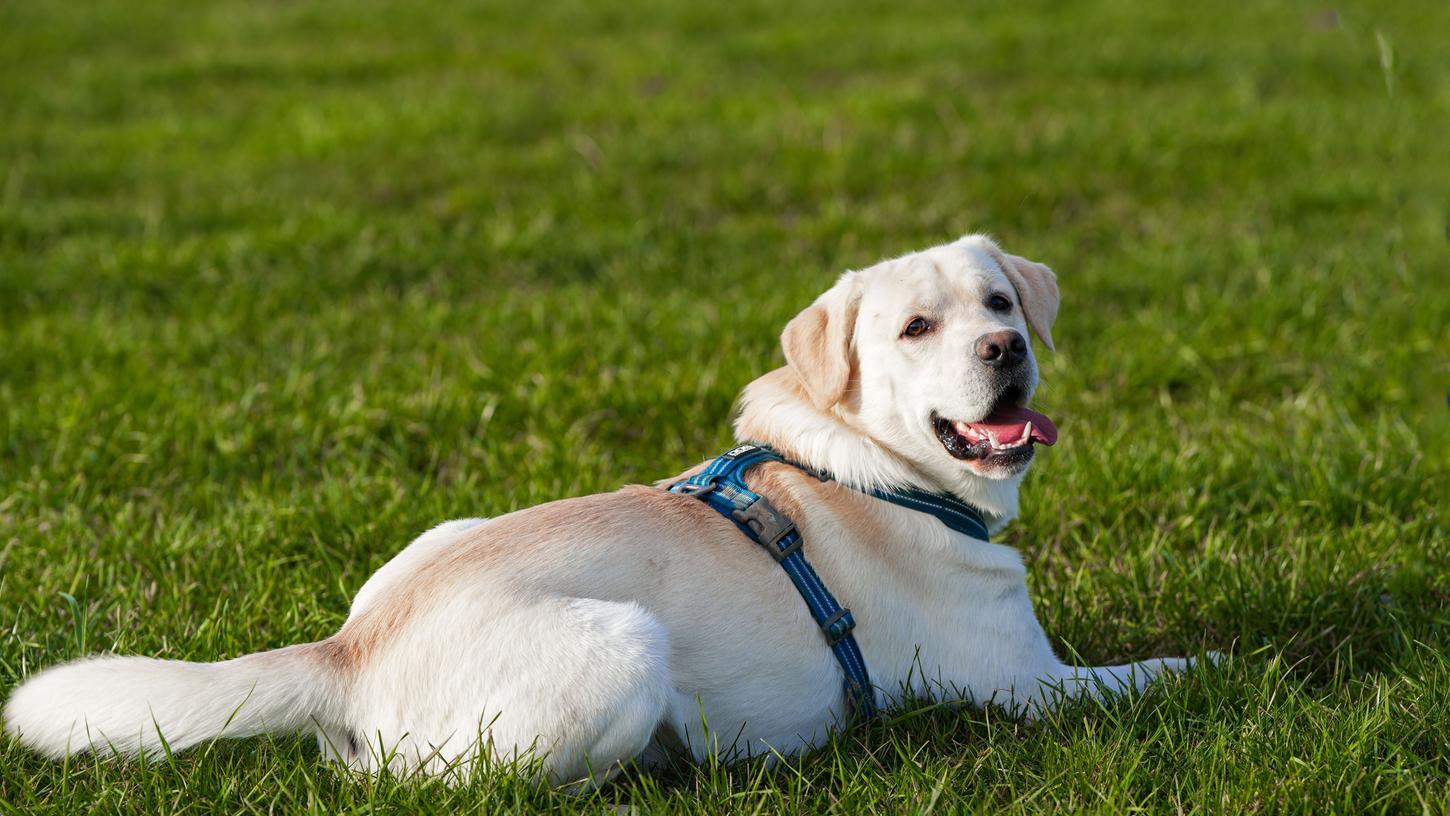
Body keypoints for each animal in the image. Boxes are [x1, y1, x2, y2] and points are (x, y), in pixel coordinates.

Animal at [0, 234, 1200, 782]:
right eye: (915, 329)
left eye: (1000, 304)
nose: (1005, 351)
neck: (861, 463)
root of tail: (341, 651)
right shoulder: (1030, 687)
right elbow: (1166, 670)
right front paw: (1221, 663)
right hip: (625, 644)